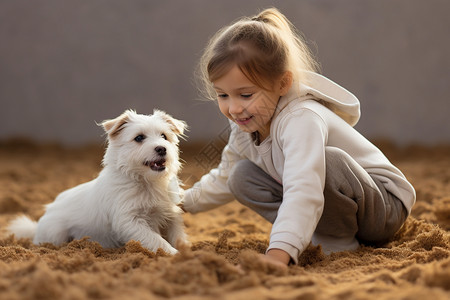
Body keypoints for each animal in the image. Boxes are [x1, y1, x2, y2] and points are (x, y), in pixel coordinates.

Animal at [8, 109, 188, 254]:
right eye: (139, 138)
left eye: (164, 136)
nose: (162, 148)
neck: (147, 181)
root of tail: (38, 225)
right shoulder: (129, 221)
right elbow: (154, 239)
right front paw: (173, 254)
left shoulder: (171, 213)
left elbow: (177, 234)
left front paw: (186, 250)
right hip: (55, 233)